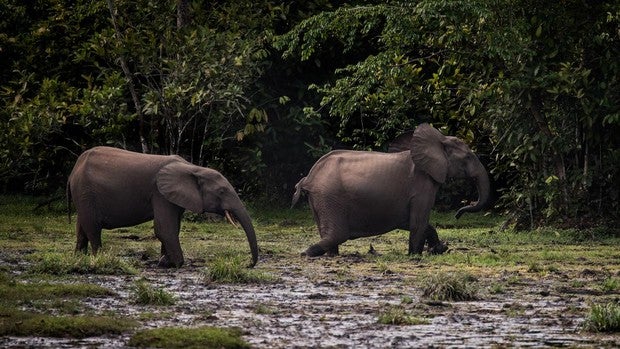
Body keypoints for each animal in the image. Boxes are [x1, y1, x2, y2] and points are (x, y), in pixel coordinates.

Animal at [67, 145, 260, 268]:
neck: (193, 168)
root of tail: (73, 170)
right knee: (92, 228)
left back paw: (79, 258)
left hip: (83, 195)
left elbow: (173, 228)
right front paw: (176, 264)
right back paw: (99, 258)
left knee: (81, 227)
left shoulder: (173, 197)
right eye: (221, 191)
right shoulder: (160, 193)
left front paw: (164, 262)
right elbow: (164, 228)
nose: (248, 264)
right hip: (85, 191)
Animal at [290, 122, 490, 256]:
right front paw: (415, 256)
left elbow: (414, 223)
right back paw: (305, 253)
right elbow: (418, 222)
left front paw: (439, 249)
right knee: (338, 234)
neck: (439, 139)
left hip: (320, 199)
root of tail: (309, 177)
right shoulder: (422, 185)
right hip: (329, 197)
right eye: (468, 157)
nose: (457, 214)